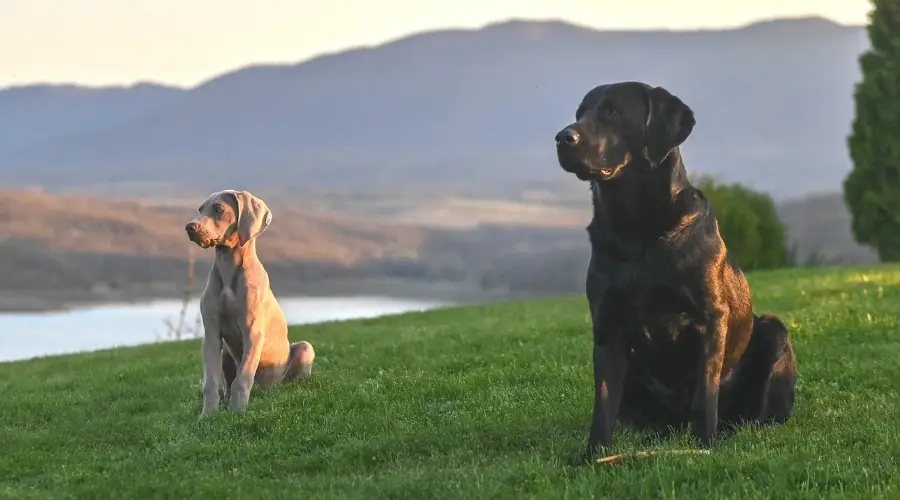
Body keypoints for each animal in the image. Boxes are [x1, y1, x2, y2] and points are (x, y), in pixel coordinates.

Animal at [185, 189, 314, 416]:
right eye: (200, 209)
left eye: (218, 209)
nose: (190, 227)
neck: (229, 270)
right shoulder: (211, 334)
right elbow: (210, 382)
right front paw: (207, 415)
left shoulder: (252, 334)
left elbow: (242, 379)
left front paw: (237, 412)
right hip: (226, 352)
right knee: (226, 382)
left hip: (304, 349)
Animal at [552, 81, 800, 460]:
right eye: (580, 113)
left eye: (613, 112)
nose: (562, 137)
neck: (638, 233)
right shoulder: (608, 327)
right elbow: (604, 403)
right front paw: (593, 456)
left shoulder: (710, 318)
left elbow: (705, 396)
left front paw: (704, 447)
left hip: (774, 332)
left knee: (757, 413)